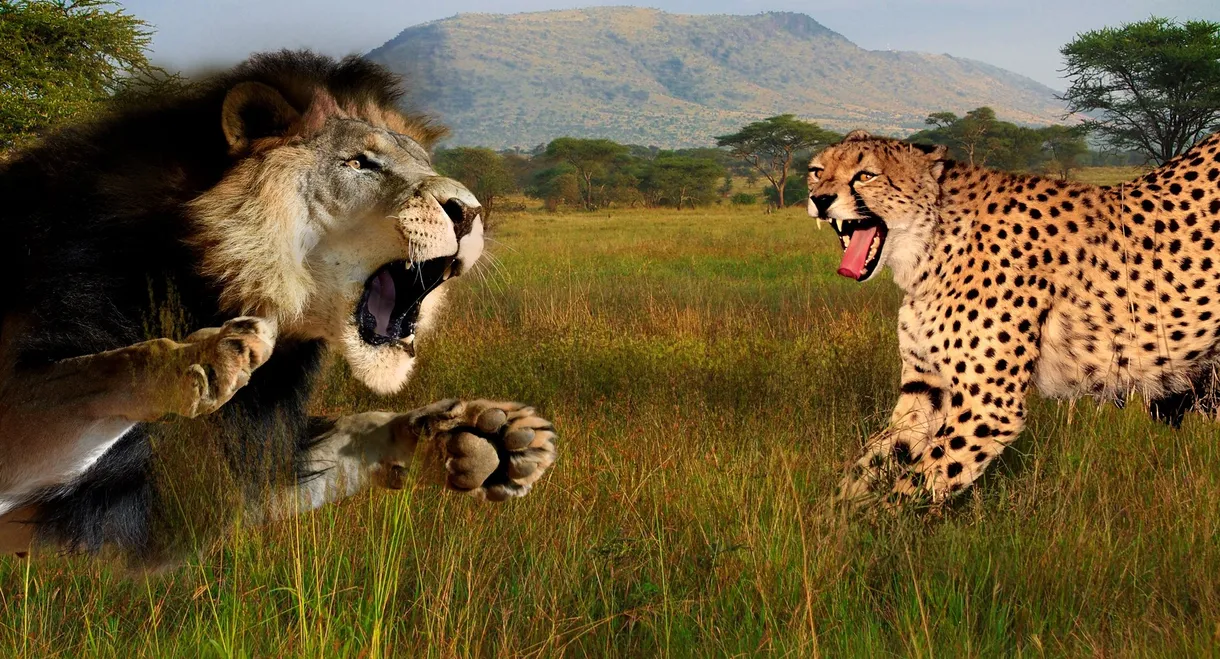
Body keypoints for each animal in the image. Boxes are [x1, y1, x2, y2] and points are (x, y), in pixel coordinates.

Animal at [0, 51, 557, 565]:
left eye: (426, 165)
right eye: (360, 163)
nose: (469, 212)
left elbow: (357, 429)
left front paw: (485, 435)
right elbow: (86, 375)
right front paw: (199, 356)